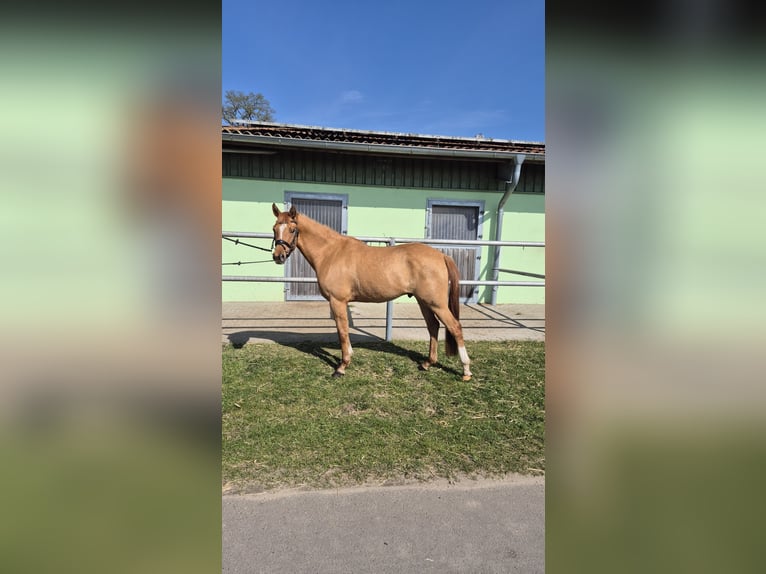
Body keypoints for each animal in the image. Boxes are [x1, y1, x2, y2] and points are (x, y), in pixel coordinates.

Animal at [271, 203, 472, 381]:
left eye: (292, 229)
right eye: (274, 228)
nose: (278, 256)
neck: (331, 253)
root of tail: (441, 255)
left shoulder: (337, 301)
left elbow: (342, 332)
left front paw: (342, 367)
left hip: (436, 303)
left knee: (455, 327)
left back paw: (466, 371)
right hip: (424, 302)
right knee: (433, 326)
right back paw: (427, 363)